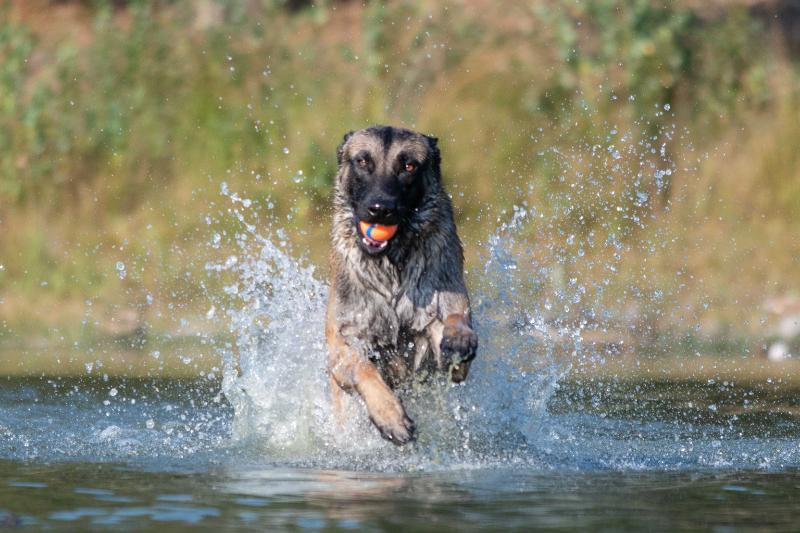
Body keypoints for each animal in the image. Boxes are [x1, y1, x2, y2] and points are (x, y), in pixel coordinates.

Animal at [326, 125, 478, 444]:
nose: (380, 209)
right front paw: (389, 415)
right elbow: (364, 369)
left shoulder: (437, 321)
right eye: (362, 162)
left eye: (408, 166)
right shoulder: (341, 346)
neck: (390, 267)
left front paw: (459, 336)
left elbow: (454, 321)